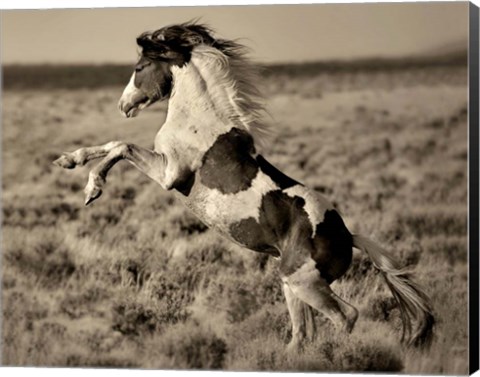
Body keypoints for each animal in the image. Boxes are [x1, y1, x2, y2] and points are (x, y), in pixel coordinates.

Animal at [53, 22, 436, 348]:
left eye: (139, 67)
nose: (123, 105)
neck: (200, 118)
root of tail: (348, 237)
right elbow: (111, 145)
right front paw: (68, 160)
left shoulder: (169, 173)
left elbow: (121, 146)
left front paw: (92, 189)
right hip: (291, 285)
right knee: (302, 334)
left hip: (305, 283)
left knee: (346, 317)